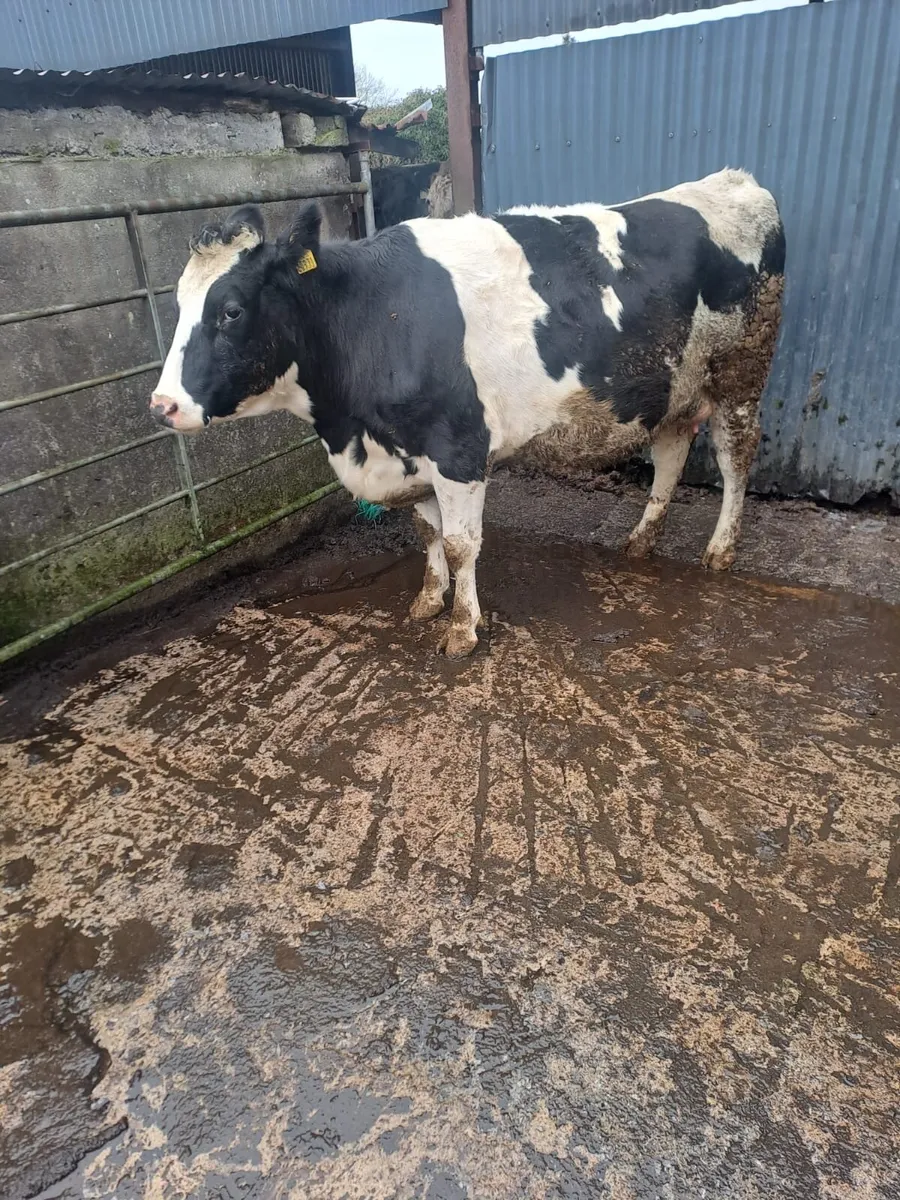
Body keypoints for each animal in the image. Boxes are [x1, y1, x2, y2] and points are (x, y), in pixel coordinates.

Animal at [150, 168, 785, 658]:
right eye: (179, 303)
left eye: (231, 310)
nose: (163, 405)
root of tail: (734, 180)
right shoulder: (409, 452)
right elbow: (427, 533)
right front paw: (428, 601)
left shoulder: (458, 447)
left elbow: (461, 544)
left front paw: (462, 628)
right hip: (674, 384)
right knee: (672, 452)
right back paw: (641, 541)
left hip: (740, 375)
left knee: (735, 459)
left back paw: (720, 552)